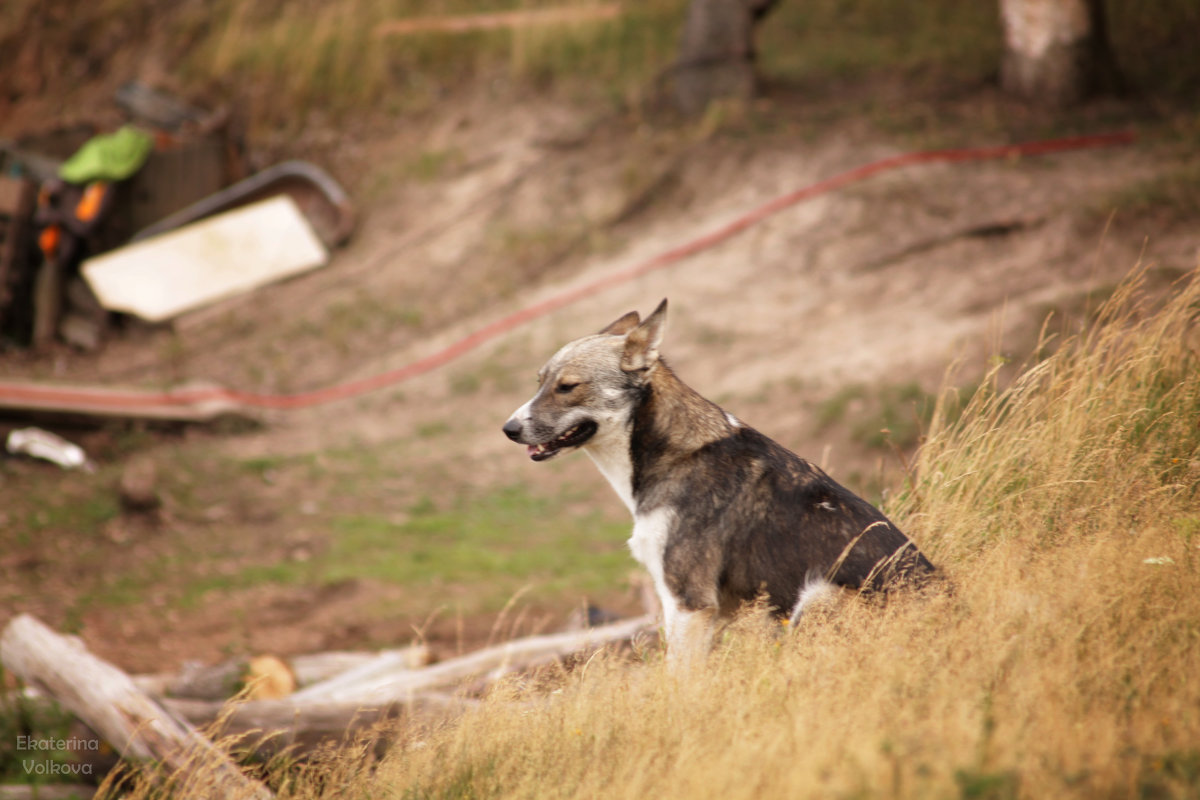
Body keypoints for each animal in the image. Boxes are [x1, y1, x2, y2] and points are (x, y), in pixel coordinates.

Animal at [501, 299, 931, 662]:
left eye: (567, 387)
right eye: (540, 382)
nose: (508, 429)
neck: (672, 454)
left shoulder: (689, 603)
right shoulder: (707, 611)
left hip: (814, 597)